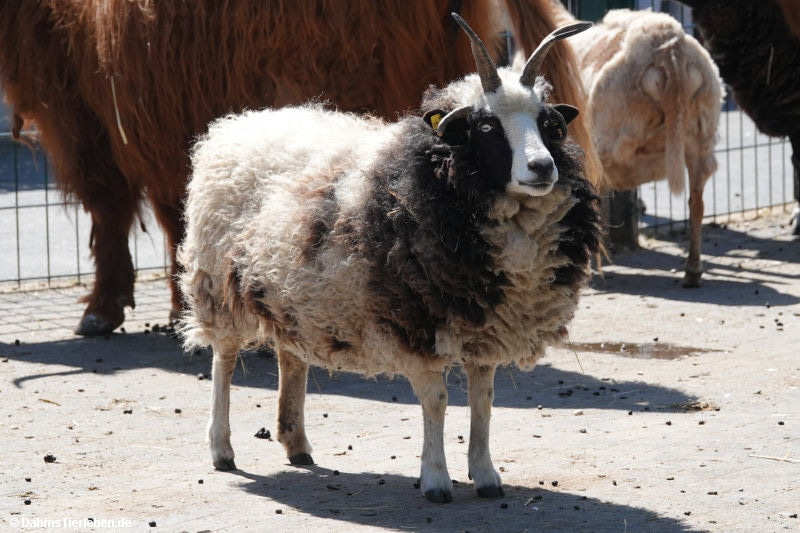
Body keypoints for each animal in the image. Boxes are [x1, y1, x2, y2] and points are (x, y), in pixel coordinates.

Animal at [178, 15, 601, 503]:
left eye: (550, 124)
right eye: (487, 128)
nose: (542, 168)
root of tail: (239, 123)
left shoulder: (485, 326)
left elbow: (484, 401)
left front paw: (485, 475)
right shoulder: (415, 324)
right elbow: (437, 401)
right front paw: (435, 479)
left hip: (289, 293)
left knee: (292, 357)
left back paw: (296, 441)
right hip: (218, 286)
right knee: (223, 362)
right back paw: (222, 448)